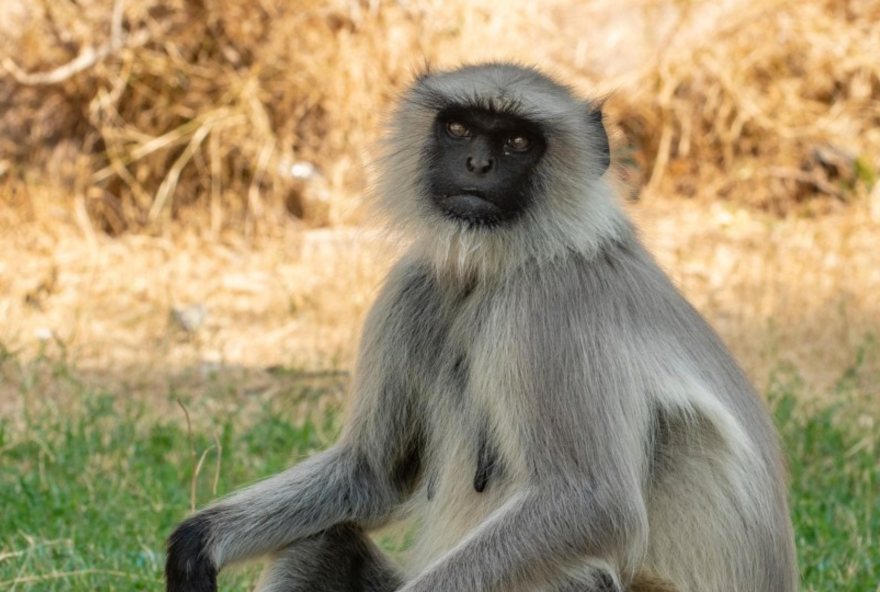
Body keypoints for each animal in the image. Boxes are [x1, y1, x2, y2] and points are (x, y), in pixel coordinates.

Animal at [165, 62, 796, 592]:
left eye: (517, 141)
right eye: (459, 128)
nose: (478, 165)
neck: (502, 267)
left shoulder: (548, 306)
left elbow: (593, 504)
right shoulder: (417, 283)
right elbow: (373, 475)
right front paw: (198, 544)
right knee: (321, 543)